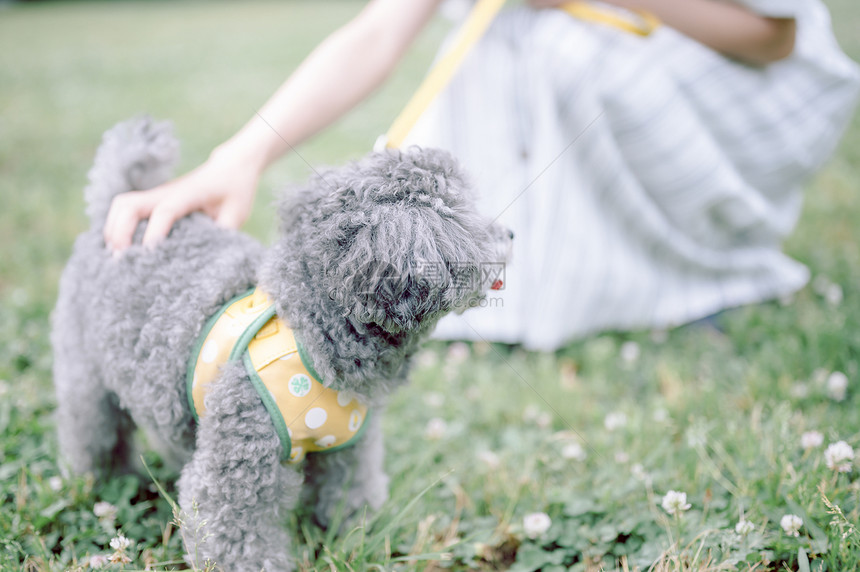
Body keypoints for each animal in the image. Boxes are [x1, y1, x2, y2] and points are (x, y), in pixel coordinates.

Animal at [52, 115, 510, 568]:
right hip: (84, 376)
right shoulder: (239, 466)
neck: (314, 329)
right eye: (469, 218)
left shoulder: (349, 453)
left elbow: (349, 502)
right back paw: (107, 482)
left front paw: (357, 544)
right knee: (94, 432)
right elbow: (238, 540)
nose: (512, 234)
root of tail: (118, 202)